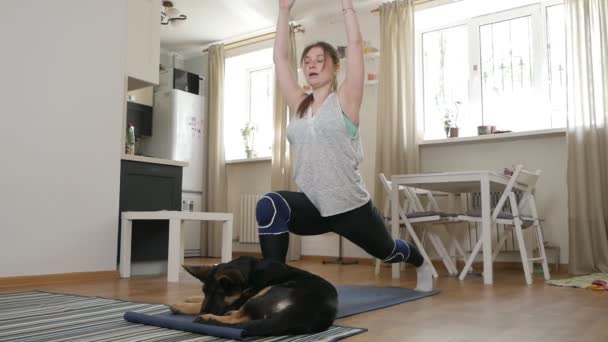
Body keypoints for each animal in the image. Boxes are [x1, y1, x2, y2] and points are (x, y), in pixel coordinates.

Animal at [171, 256, 340, 336]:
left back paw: (208, 318)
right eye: (204, 291)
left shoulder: (239, 299)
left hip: (266, 291)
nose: (204, 311)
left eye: (219, 294)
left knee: (238, 318)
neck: (248, 274)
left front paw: (182, 305)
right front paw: (191, 298)